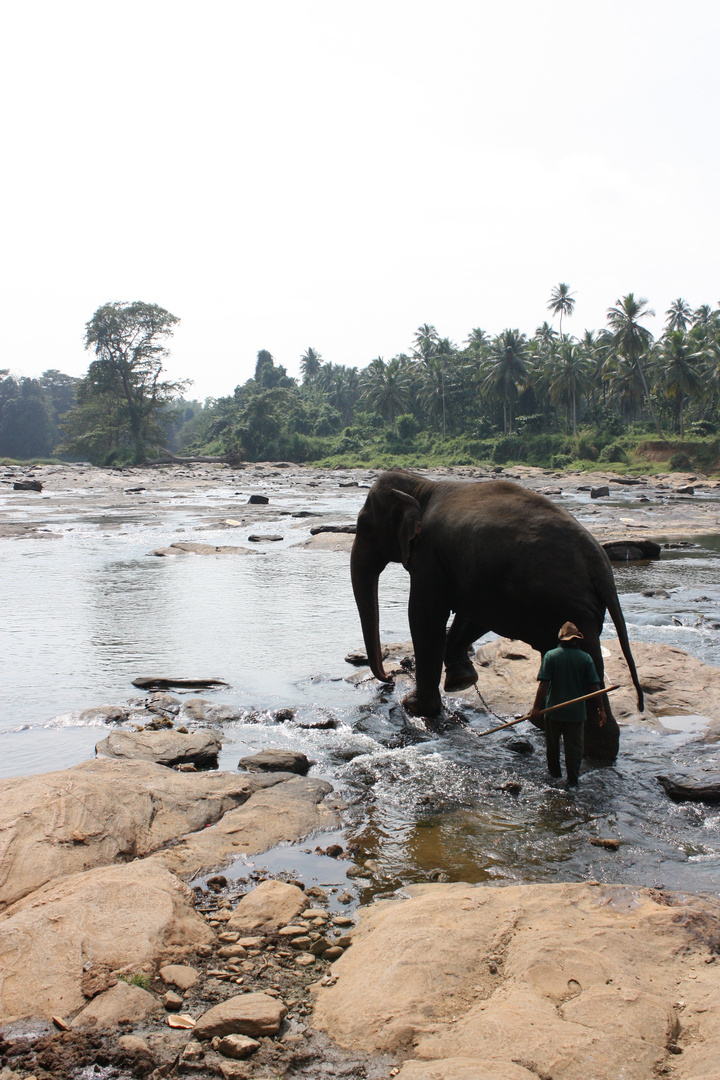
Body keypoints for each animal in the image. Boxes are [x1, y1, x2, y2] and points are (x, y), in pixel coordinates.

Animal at [351, 468, 643, 764]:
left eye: (364, 526)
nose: (389, 677)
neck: (422, 485)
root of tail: (601, 567)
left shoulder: (429, 556)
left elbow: (425, 614)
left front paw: (414, 706)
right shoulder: (478, 574)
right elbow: (472, 613)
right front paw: (461, 680)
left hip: (562, 601)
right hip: (572, 607)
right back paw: (581, 741)